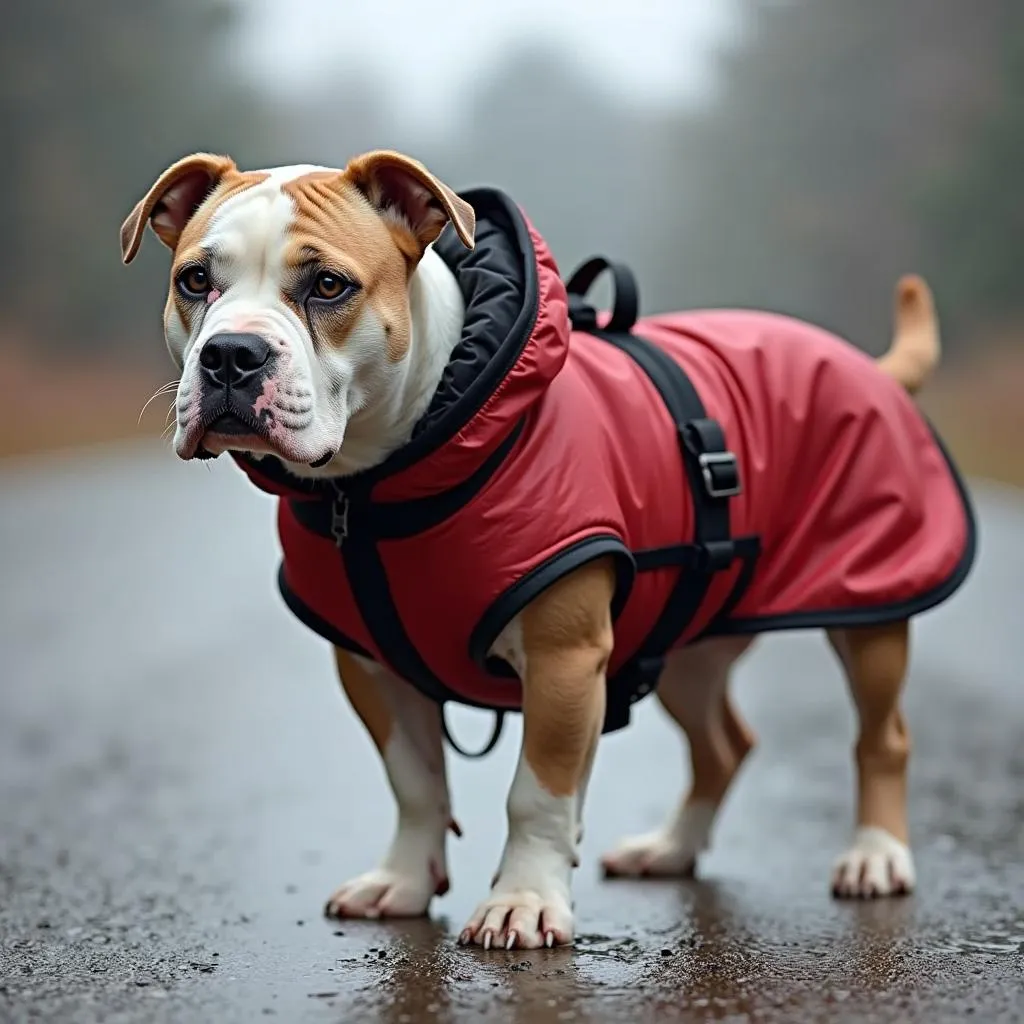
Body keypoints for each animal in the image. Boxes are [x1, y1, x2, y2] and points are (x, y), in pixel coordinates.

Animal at [119, 148, 974, 946]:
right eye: (195, 280)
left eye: (328, 286)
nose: (231, 354)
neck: (373, 486)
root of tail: (870, 365)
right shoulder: (370, 665)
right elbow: (413, 781)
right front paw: (403, 882)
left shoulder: (565, 659)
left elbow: (536, 792)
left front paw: (524, 901)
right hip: (689, 636)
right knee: (724, 744)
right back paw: (670, 849)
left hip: (870, 608)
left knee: (882, 737)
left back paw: (875, 856)